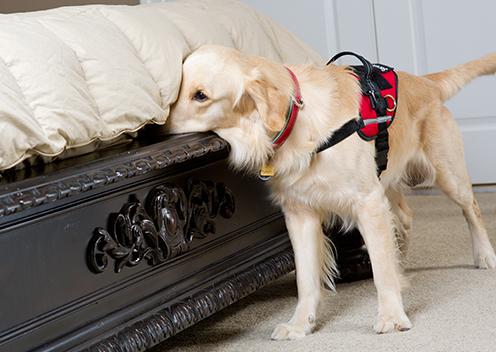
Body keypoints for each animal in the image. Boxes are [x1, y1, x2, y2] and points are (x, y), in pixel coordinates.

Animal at [168, 45, 496, 340]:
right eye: (175, 91)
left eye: (200, 95)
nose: (160, 129)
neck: (299, 120)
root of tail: (426, 82)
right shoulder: (300, 213)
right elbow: (306, 278)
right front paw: (301, 324)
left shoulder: (368, 202)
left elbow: (381, 271)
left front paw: (391, 316)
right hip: (386, 178)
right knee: (404, 217)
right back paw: (401, 260)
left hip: (447, 173)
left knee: (472, 208)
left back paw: (484, 255)